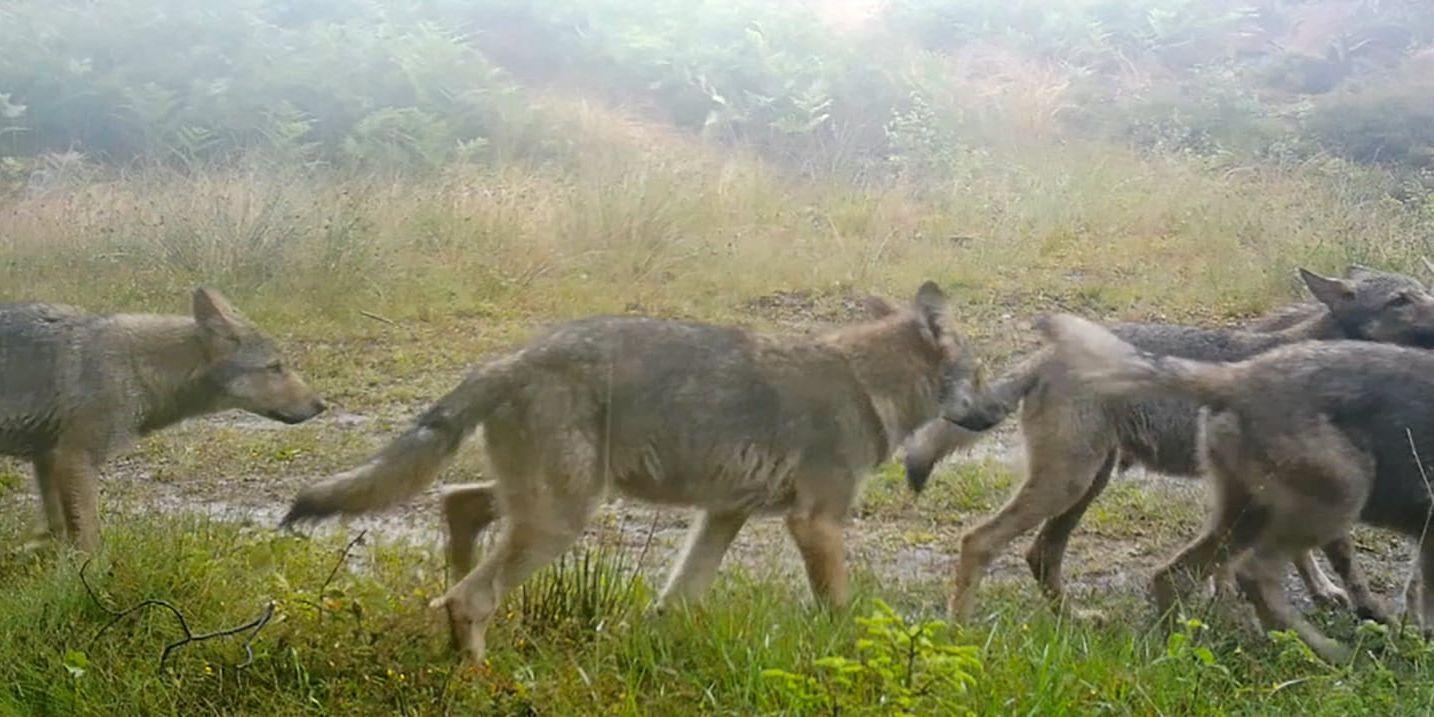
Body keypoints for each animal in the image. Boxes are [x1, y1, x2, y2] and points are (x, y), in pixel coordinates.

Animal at [0, 289, 325, 547]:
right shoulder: (75, 458)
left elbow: (58, 529)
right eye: (275, 367)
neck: (135, 366)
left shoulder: (47, 456)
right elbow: (90, 537)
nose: (321, 404)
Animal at [285, 281, 992, 659]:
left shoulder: (723, 514)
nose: (996, 412)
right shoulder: (816, 523)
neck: (867, 384)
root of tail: (512, 358)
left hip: (545, 504)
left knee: (457, 509)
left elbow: (677, 598)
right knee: (468, 597)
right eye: (982, 376)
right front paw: (852, 657)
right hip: (562, 519)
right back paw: (478, 673)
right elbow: (841, 612)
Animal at [923, 266, 1434, 619]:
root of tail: (1047, 354)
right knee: (978, 542)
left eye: (1419, 289)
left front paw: (1318, 591)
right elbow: (1342, 556)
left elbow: (1301, 553)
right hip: (1067, 484)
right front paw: (1367, 609)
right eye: (1401, 300)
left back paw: (1074, 620)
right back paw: (961, 632)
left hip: (1085, 485)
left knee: (1041, 555)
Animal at [1038, 316, 1434, 662]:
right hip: (1336, 500)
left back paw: (1180, 647)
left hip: (1247, 516)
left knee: (1174, 574)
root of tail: (1235, 376)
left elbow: (1415, 593)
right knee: (1254, 574)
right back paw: (1323, 653)